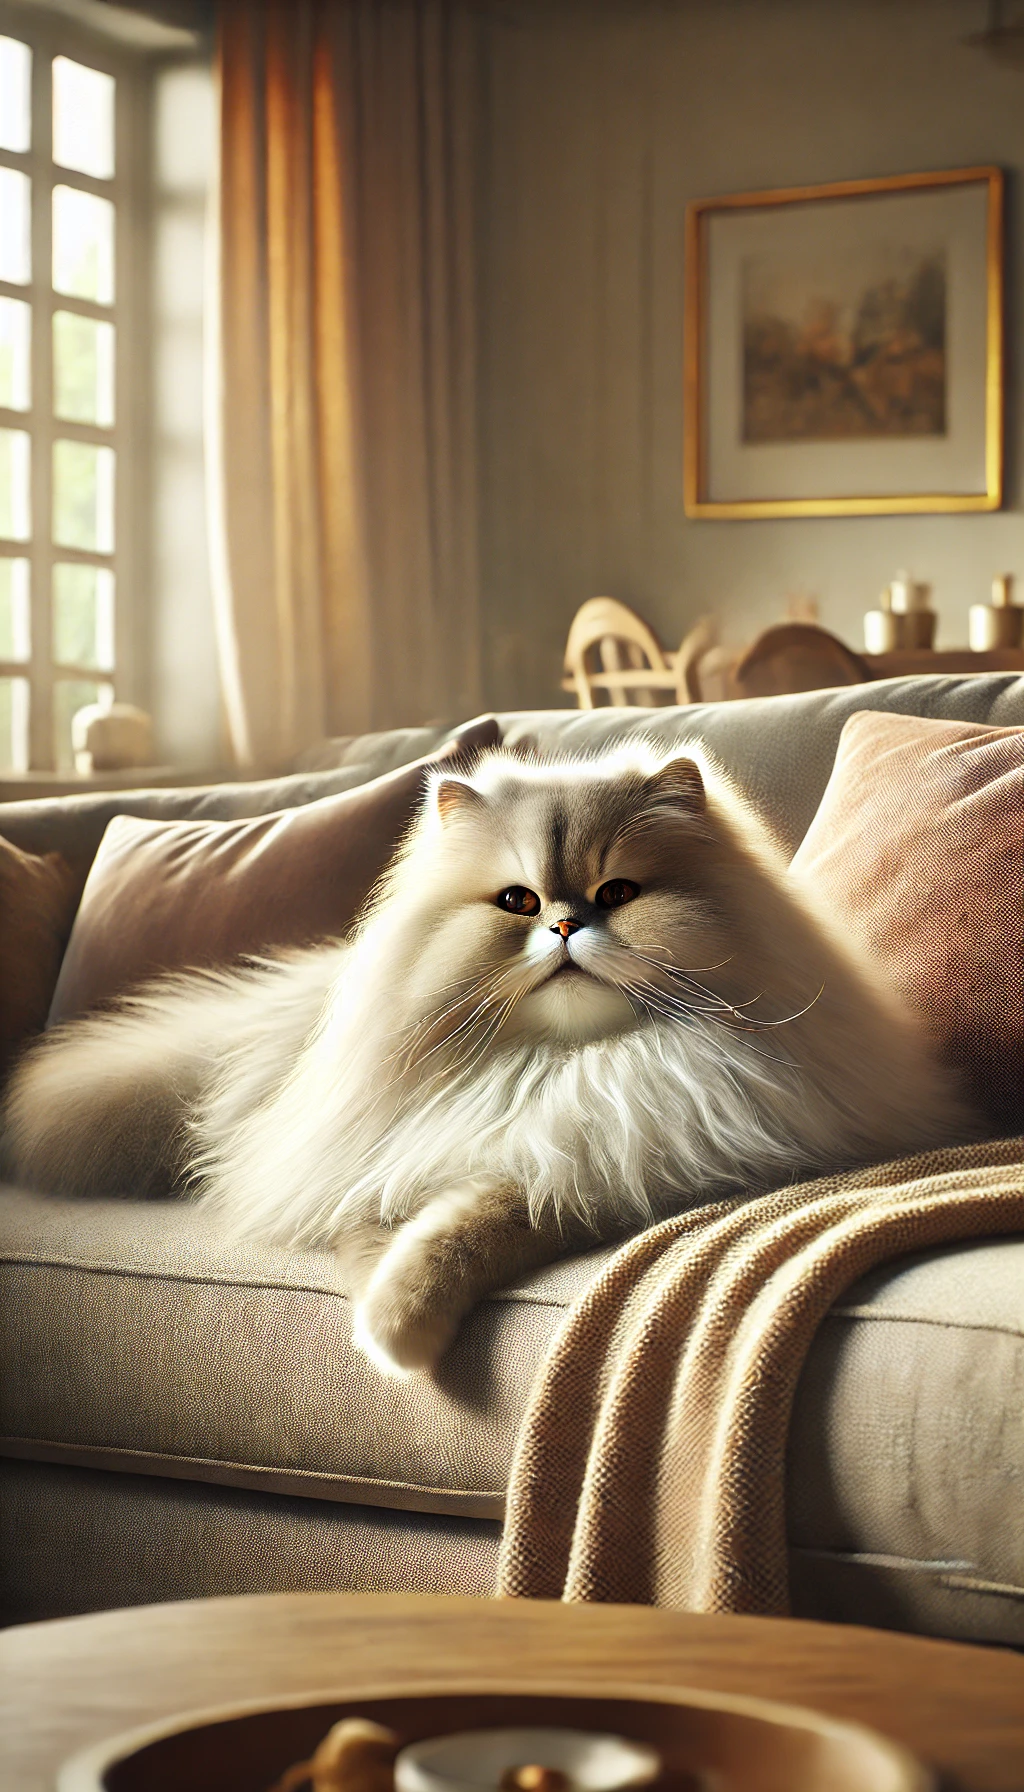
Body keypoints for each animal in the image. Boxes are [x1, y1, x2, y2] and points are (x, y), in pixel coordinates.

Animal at [4, 741, 975, 1369]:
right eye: (518, 902)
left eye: (618, 893)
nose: (566, 927)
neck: (570, 1070)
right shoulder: (387, 1161)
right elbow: (382, 1236)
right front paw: (391, 1331)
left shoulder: (611, 1170)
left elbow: (469, 1225)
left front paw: (399, 1331)